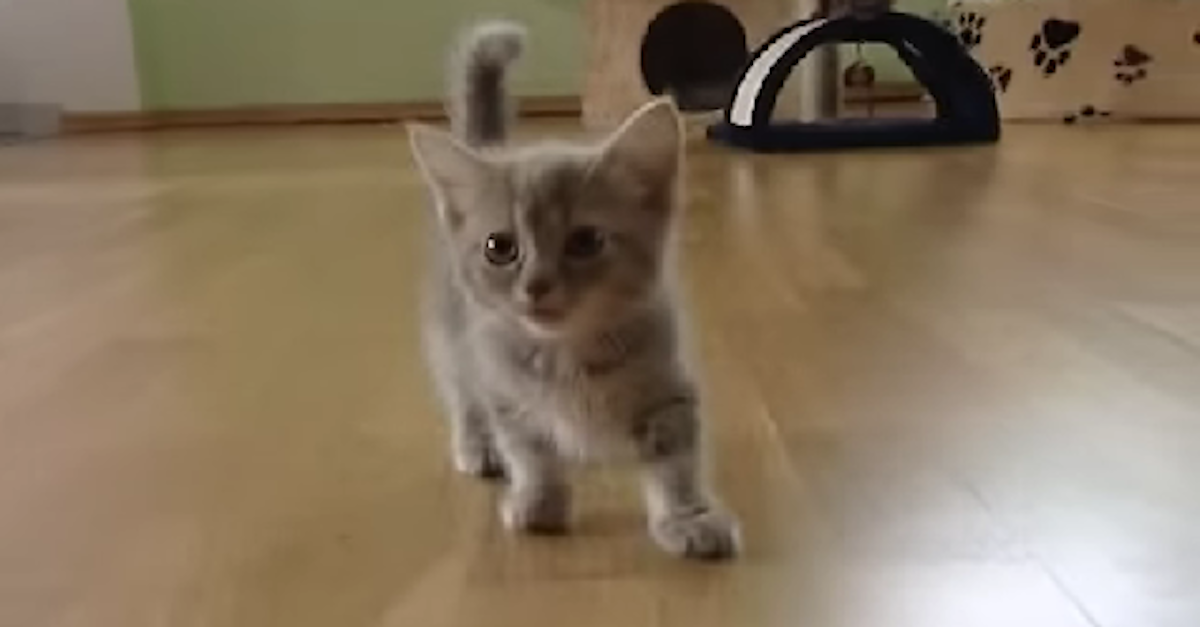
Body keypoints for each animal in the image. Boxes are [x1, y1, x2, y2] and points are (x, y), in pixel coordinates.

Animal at [408, 20, 734, 557]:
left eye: (585, 241)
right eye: (500, 247)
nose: (536, 285)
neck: (569, 356)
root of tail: (496, 148)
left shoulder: (670, 386)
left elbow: (677, 461)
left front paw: (688, 516)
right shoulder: (503, 386)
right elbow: (530, 449)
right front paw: (538, 501)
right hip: (450, 338)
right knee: (462, 394)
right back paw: (477, 445)